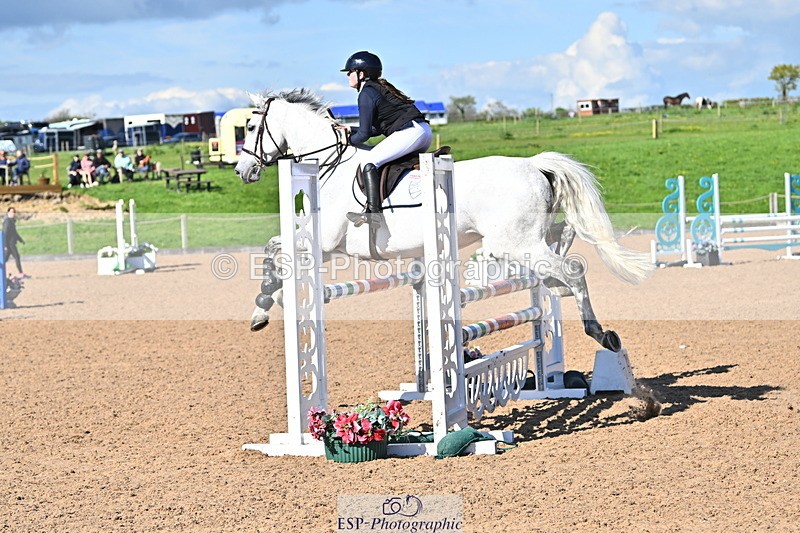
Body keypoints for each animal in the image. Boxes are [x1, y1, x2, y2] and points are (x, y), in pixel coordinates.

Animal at [235, 89, 654, 352]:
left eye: (252, 128)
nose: (242, 171)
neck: (326, 164)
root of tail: (534, 164)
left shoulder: (322, 243)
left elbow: (274, 249)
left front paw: (262, 306)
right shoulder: (320, 245)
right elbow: (273, 249)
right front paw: (264, 307)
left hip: (517, 242)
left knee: (574, 270)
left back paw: (599, 331)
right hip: (521, 238)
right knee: (563, 236)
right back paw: (557, 287)